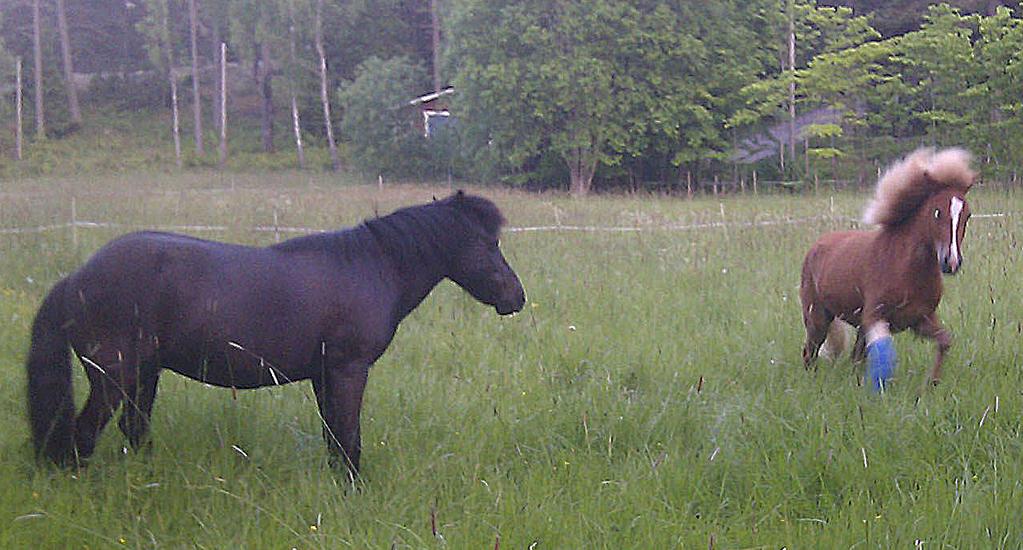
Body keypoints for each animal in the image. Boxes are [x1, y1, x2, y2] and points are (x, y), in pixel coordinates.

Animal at [26, 190, 523, 472]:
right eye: (489, 243)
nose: (515, 297)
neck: (367, 268)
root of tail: (76, 278)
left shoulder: (325, 376)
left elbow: (334, 438)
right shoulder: (348, 371)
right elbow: (349, 438)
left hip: (143, 376)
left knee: (133, 430)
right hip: (113, 377)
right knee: (82, 435)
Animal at [797, 146, 973, 390]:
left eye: (968, 214)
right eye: (937, 211)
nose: (951, 262)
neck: (906, 269)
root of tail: (815, 246)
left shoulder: (921, 318)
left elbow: (944, 342)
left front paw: (932, 383)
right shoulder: (875, 317)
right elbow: (884, 354)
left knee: (854, 357)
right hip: (817, 317)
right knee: (810, 353)